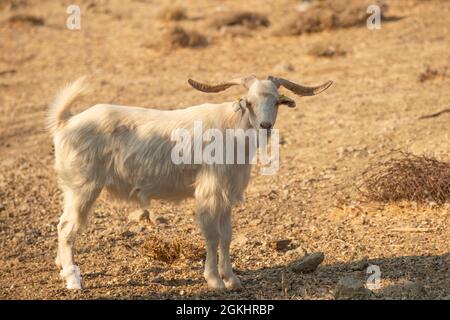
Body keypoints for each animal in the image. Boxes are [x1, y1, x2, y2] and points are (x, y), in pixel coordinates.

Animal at [48, 74, 330, 290]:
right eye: (249, 102)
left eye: (276, 102)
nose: (265, 125)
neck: (233, 130)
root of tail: (65, 123)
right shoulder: (209, 191)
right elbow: (212, 235)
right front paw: (215, 281)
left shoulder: (227, 194)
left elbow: (227, 236)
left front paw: (232, 279)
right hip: (83, 187)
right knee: (66, 228)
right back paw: (73, 281)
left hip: (72, 189)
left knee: (62, 224)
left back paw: (62, 267)